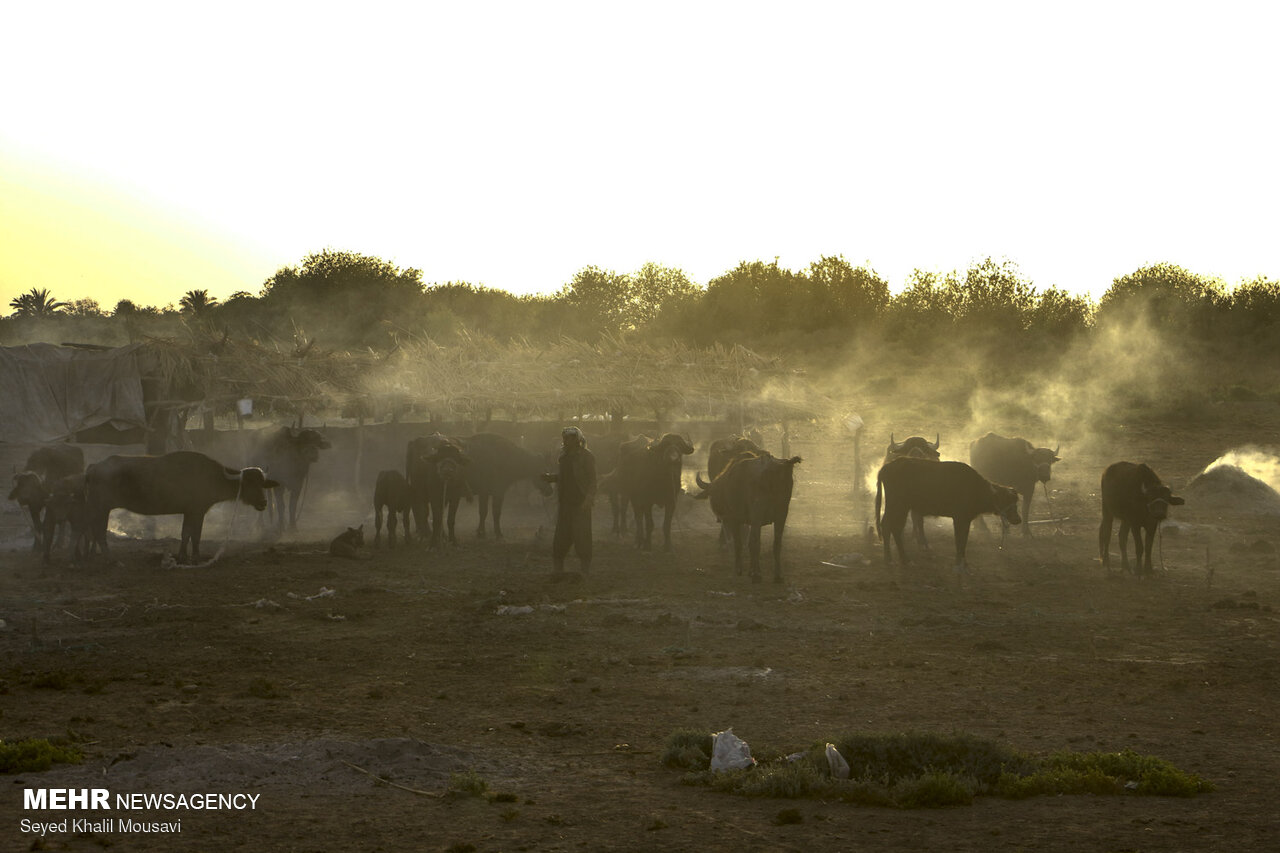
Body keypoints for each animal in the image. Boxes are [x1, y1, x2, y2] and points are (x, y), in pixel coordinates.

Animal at [83, 448, 279, 560]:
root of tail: (94, 467)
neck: (211, 477)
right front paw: (195, 556)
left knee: (93, 531)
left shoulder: (190, 512)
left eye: (262, 483)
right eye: (248, 483)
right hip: (101, 508)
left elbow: (187, 534)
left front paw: (183, 554)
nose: (263, 502)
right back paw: (109, 558)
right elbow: (195, 534)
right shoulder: (198, 511)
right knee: (98, 531)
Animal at [696, 448, 793, 581]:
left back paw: (757, 575)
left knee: (756, 541)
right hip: (781, 514)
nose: (718, 515)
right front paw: (750, 570)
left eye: (712, 493)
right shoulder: (751, 521)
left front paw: (739, 570)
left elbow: (738, 543)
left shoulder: (734, 519)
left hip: (758, 513)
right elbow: (749, 543)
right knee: (776, 543)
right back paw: (777, 576)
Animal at [870, 455, 1018, 568]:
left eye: (1015, 502)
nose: (1018, 519)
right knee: (890, 526)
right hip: (898, 506)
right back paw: (896, 559)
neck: (976, 487)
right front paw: (959, 562)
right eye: (1009, 502)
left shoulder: (965, 520)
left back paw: (897, 559)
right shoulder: (959, 519)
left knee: (891, 527)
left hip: (900, 508)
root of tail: (888, 467)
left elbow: (963, 539)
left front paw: (963, 562)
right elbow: (959, 539)